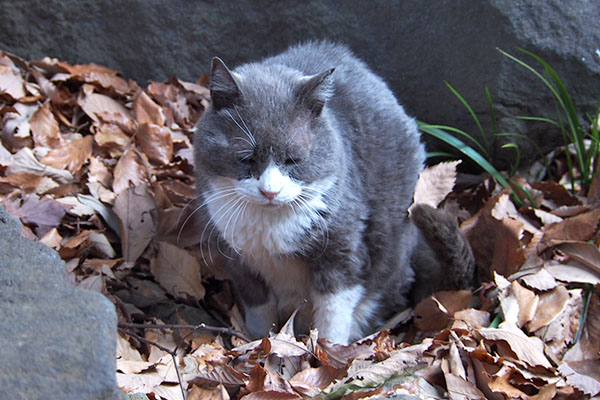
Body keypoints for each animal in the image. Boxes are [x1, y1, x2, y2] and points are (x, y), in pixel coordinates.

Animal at [192, 42, 474, 346]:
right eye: (246, 158)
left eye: (294, 159)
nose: (270, 191)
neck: (269, 230)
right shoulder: (238, 261)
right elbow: (259, 308)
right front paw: (257, 341)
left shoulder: (344, 250)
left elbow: (333, 311)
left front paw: (328, 351)